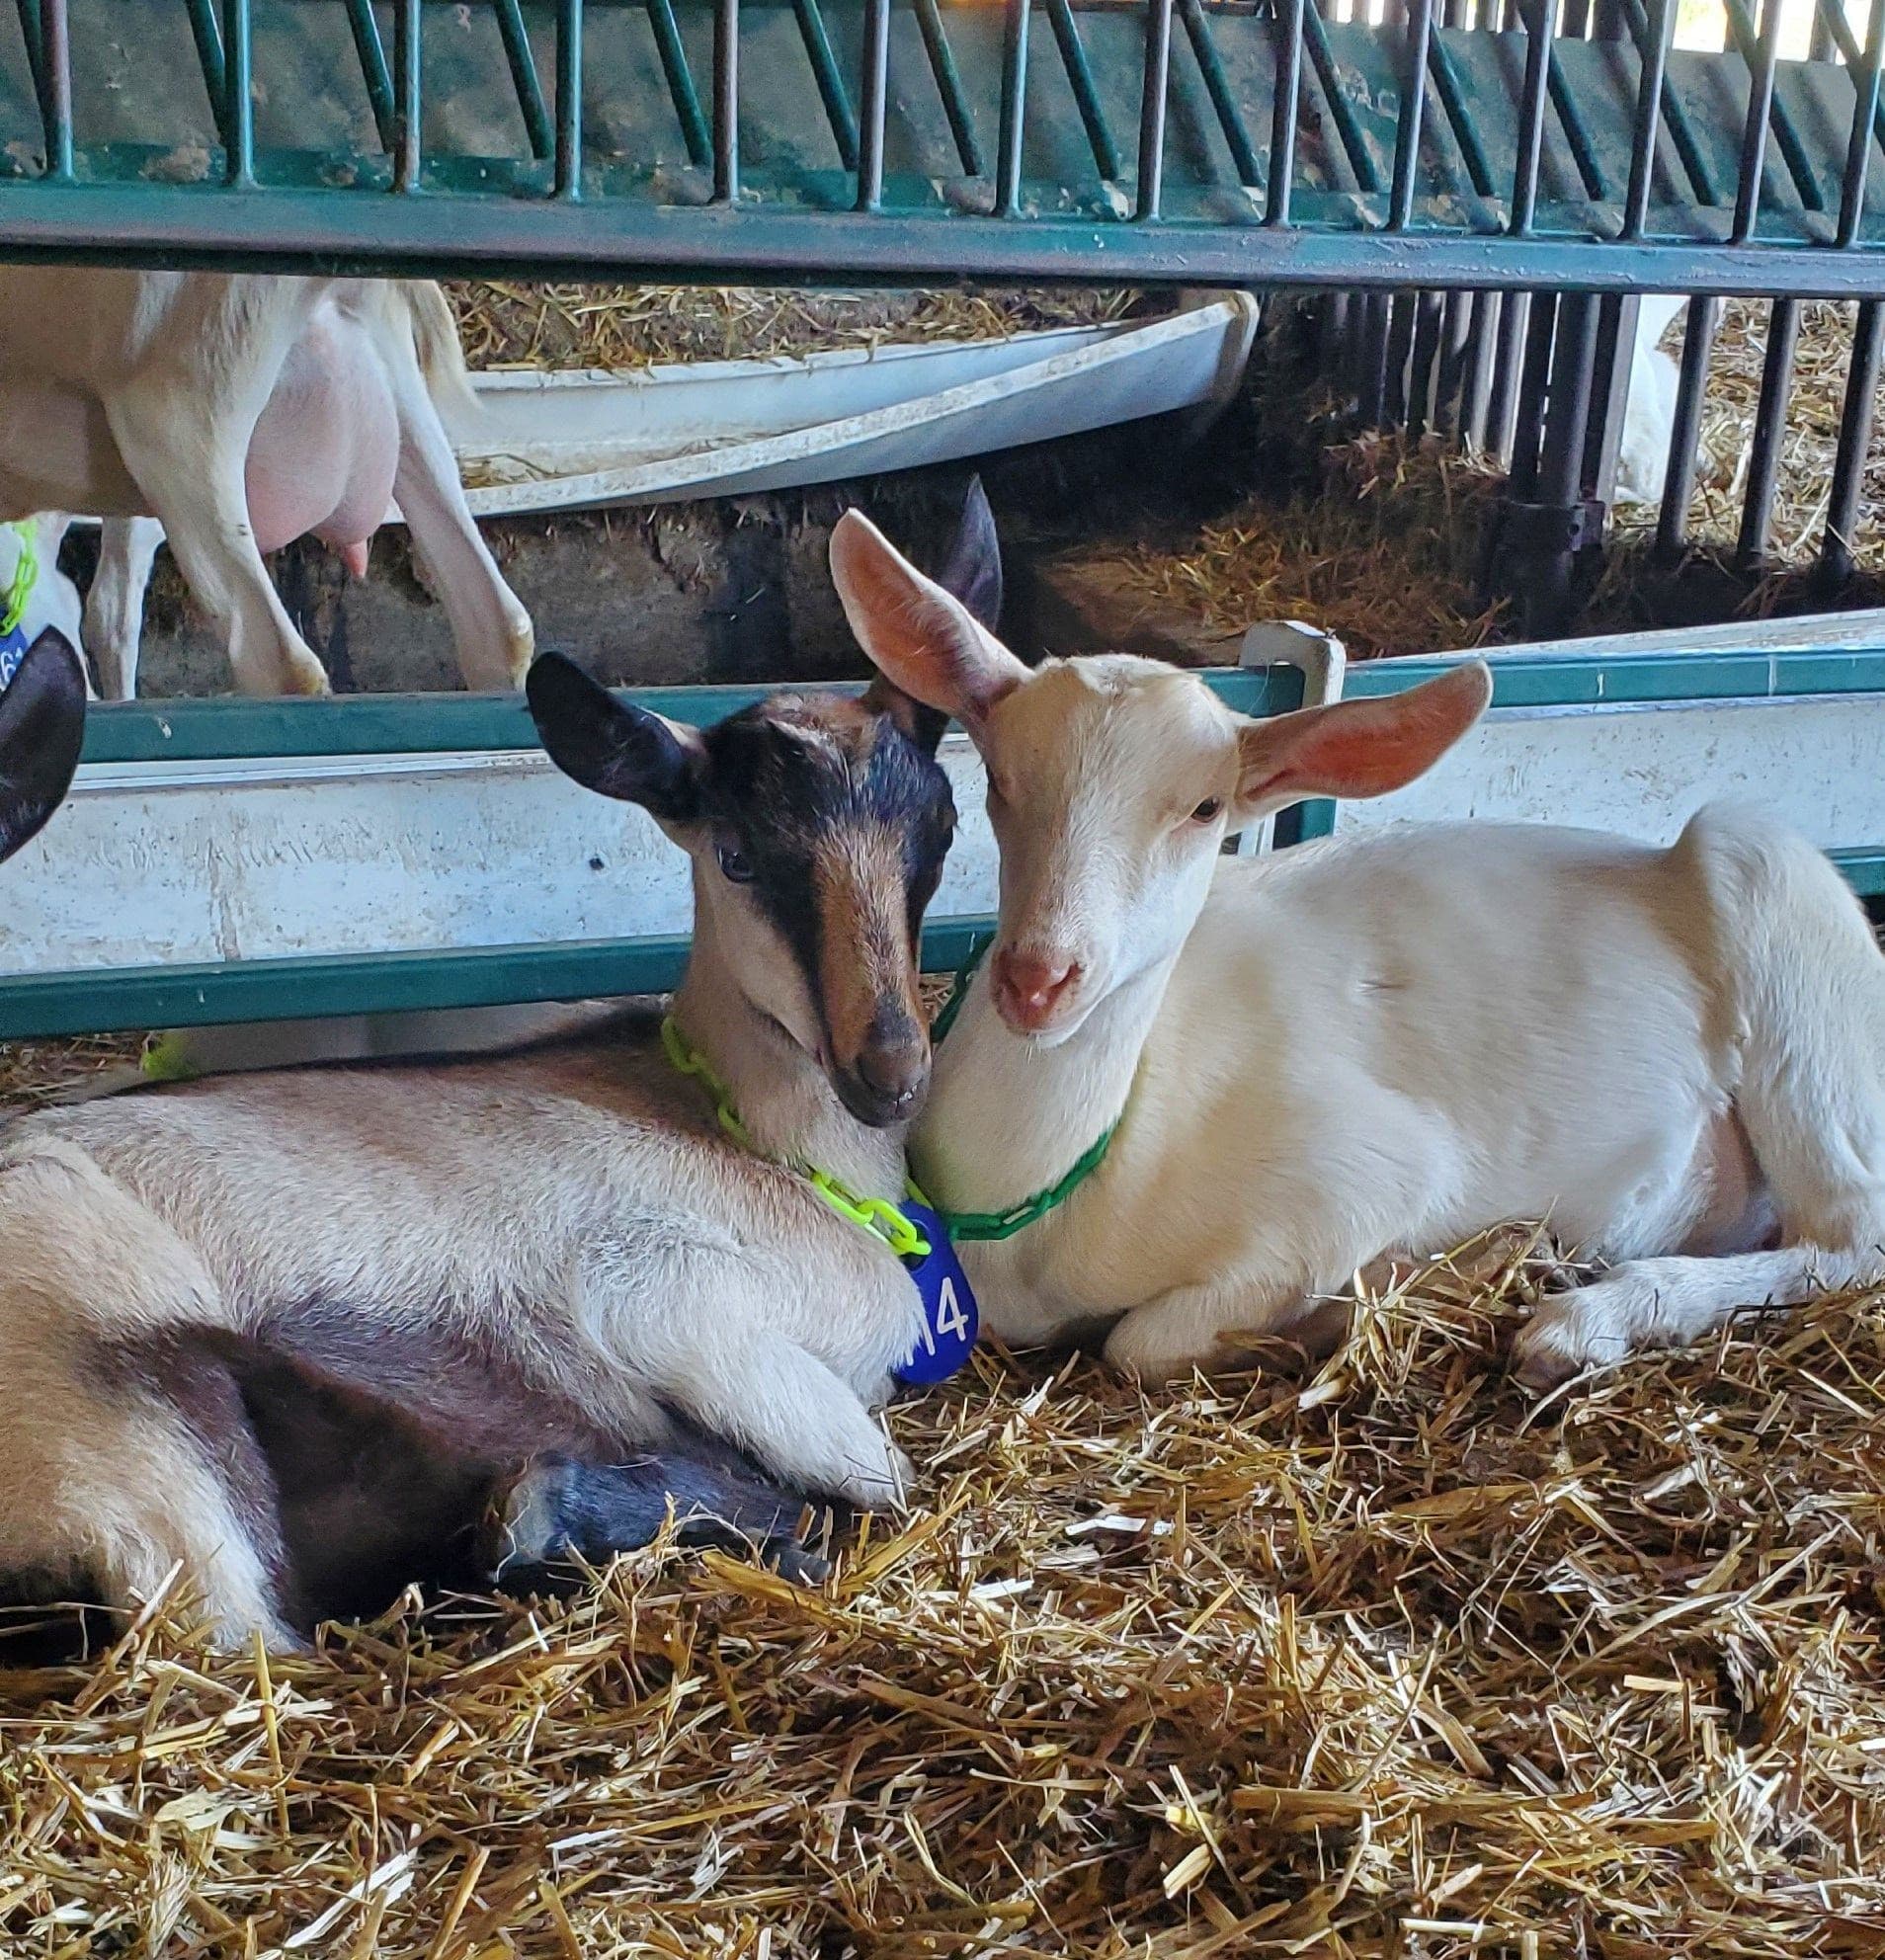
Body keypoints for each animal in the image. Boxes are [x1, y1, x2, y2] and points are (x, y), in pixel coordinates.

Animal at [0, 571, 977, 1647]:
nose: (889, 1068)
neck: (760, 1142)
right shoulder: (673, 1302)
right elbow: (885, 1476)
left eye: (940, 833)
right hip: (136, 1416)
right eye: (739, 856)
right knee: (247, 1625)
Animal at [828, 508, 1885, 1390]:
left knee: (1850, 1235)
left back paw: (1586, 1319)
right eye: (998, 780)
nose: (1039, 978)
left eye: (1206, 808)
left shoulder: (1358, 1176)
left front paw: (1361, 1302)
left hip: (1786, 941)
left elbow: (1144, 1342)